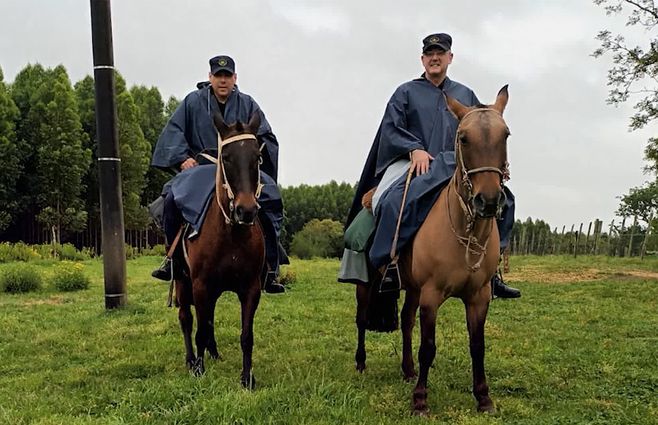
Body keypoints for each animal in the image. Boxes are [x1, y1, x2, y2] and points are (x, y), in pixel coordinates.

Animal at [175, 111, 265, 388]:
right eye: (226, 157)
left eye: (257, 158)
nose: (246, 210)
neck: (231, 235)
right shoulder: (200, 284)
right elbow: (199, 328)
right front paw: (198, 369)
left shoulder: (251, 288)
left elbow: (246, 335)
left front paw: (247, 377)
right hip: (183, 280)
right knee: (186, 318)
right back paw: (191, 359)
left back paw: (213, 353)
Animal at [355, 86, 510, 415]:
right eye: (463, 138)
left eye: (505, 135)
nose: (488, 201)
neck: (465, 234)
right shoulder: (431, 294)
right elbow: (428, 347)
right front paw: (420, 400)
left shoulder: (478, 297)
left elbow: (477, 346)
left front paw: (483, 398)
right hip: (367, 282)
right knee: (362, 319)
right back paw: (360, 363)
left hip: (412, 288)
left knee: (405, 321)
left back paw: (407, 369)